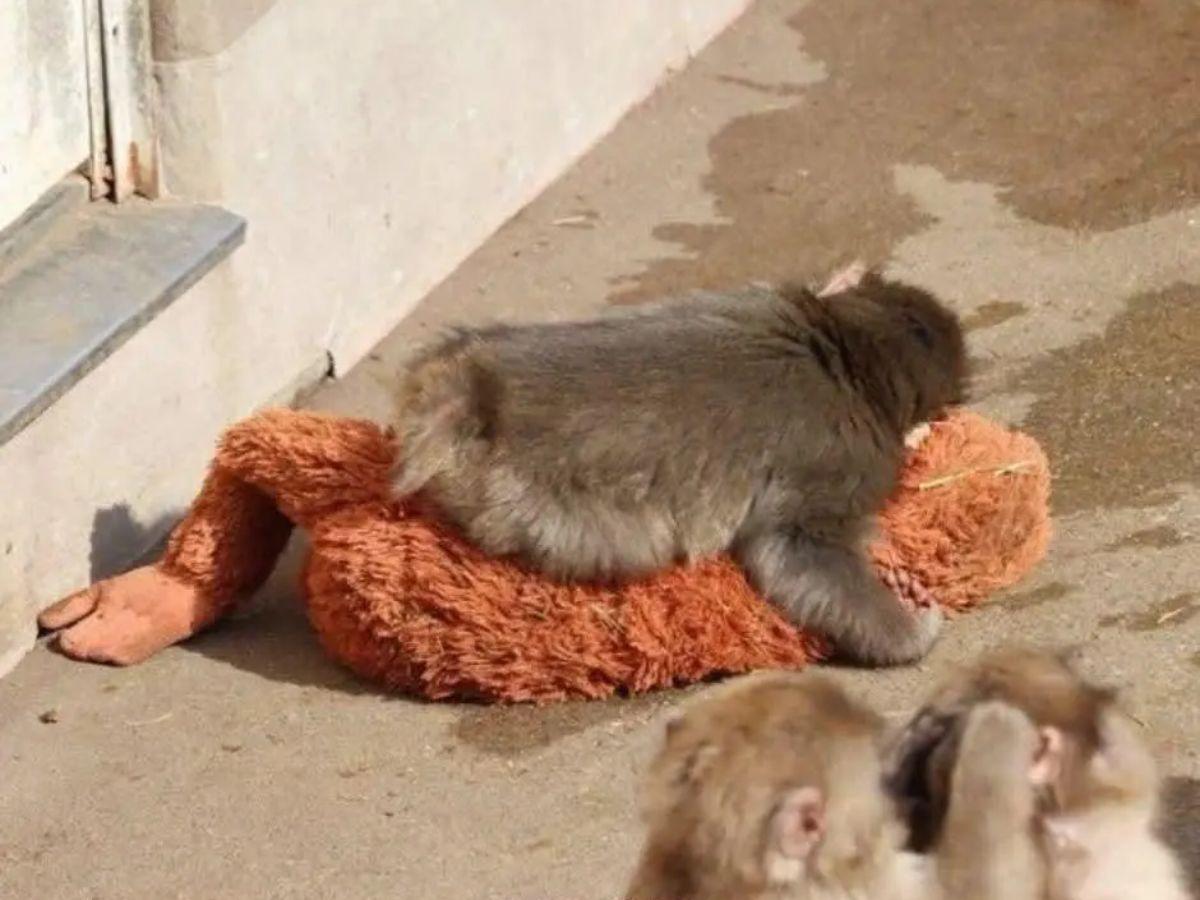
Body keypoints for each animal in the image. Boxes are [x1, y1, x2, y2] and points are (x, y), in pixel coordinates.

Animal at [388, 265, 968, 666]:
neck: (847, 349)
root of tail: (475, 391)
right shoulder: (846, 460)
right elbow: (798, 550)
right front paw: (910, 627)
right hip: (533, 504)